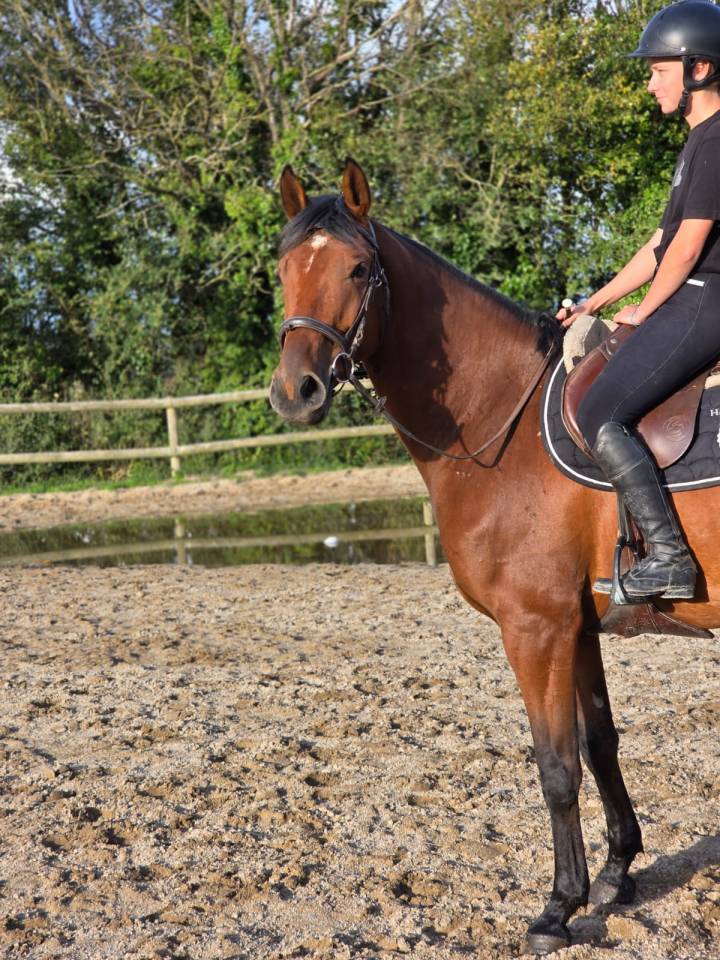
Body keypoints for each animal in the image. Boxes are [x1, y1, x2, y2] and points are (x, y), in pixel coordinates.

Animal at [268, 158, 720, 955]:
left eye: (357, 269)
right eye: (285, 269)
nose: (297, 391)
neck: (505, 421)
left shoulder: (534, 628)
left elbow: (556, 767)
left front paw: (559, 906)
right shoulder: (576, 626)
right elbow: (600, 743)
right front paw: (617, 875)